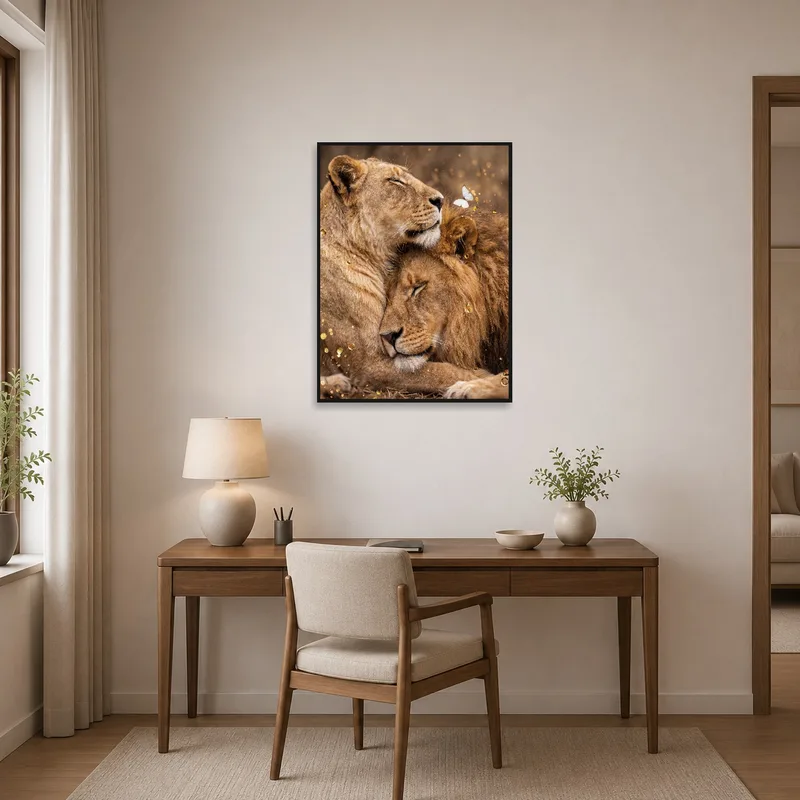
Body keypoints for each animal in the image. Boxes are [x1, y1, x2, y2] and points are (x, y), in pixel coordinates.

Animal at [319, 156, 490, 398]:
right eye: (395, 181)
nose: (440, 200)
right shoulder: (368, 364)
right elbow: (441, 371)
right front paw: (481, 379)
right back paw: (337, 383)